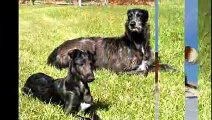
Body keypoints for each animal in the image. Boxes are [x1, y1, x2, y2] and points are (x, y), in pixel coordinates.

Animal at [47, 8, 176, 76]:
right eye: (129, 16)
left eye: (140, 15)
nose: (132, 24)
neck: (136, 42)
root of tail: (57, 49)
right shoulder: (119, 69)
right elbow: (142, 70)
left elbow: (158, 65)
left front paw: (172, 69)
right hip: (87, 45)